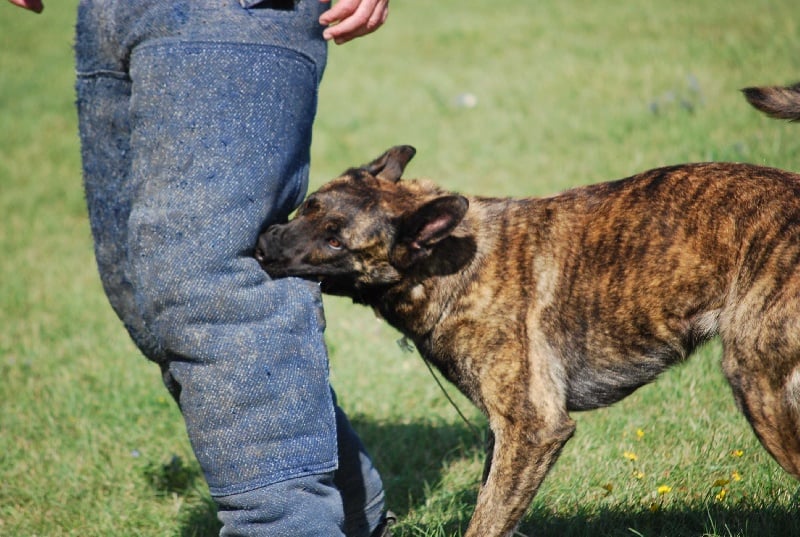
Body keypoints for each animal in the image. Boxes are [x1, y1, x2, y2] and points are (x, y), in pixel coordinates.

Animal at [255, 84, 800, 537]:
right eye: (307, 207)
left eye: (335, 241)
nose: (262, 244)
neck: (451, 264)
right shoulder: (505, 437)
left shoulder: (532, 428)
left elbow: (485, 523)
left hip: (760, 387)